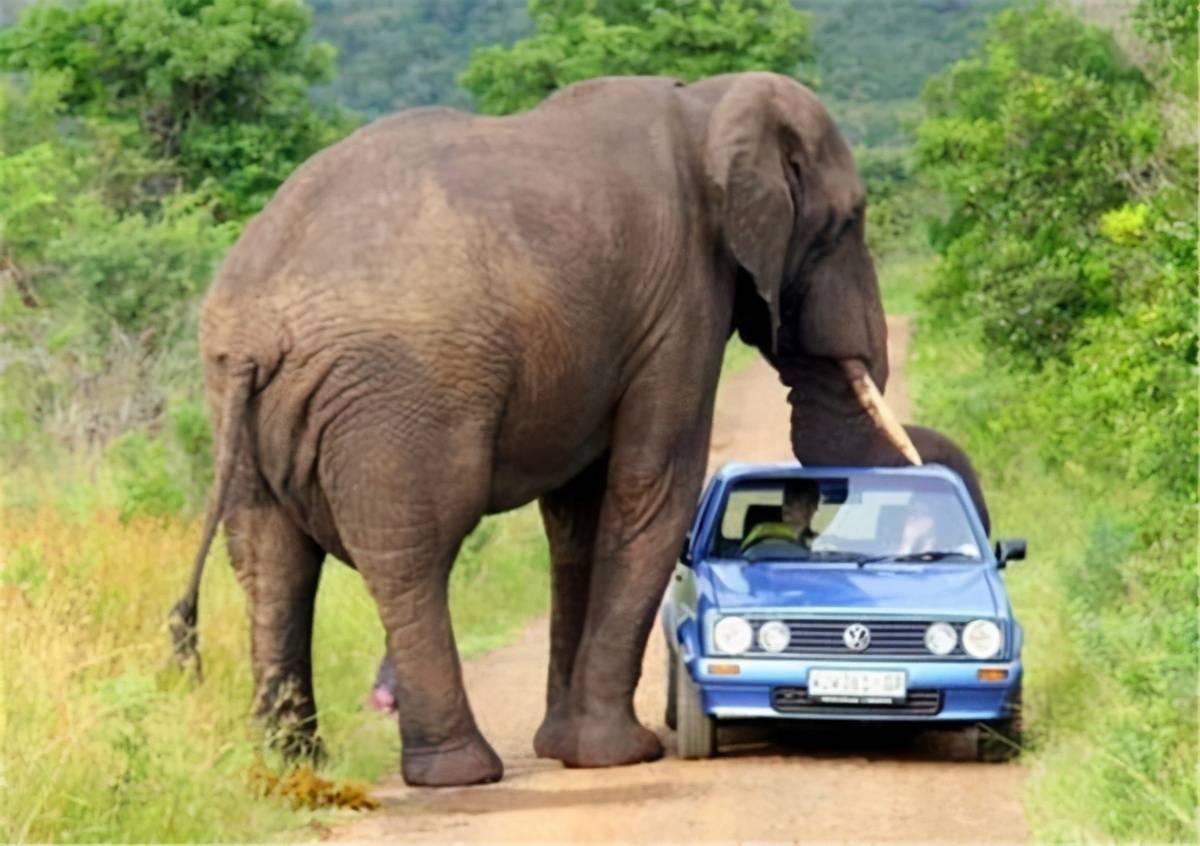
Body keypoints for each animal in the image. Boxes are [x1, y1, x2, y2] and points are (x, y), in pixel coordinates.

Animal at [170, 71, 989, 789]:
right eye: (848, 223)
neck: (709, 104)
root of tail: (256, 328)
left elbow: (577, 517)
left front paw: (564, 747)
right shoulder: (681, 302)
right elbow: (653, 485)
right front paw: (617, 757)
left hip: (239, 406)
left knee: (272, 561)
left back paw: (291, 770)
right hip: (399, 399)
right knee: (414, 554)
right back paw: (459, 774)